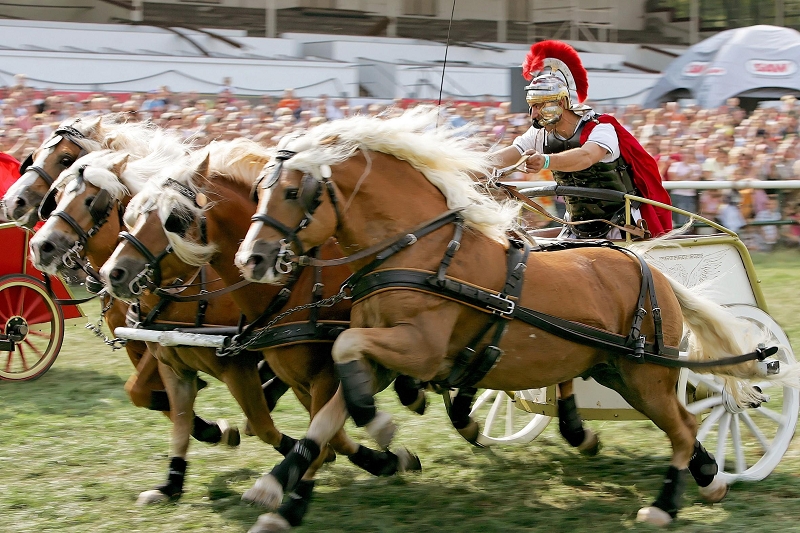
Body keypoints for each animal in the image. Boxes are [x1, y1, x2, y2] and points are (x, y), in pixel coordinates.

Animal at [6, 114, 234, 446]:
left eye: (65, 159)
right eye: (33, 156)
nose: (13, 202)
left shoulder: (162, 337)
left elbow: (144, 390)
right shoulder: (137, 341)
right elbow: (145, 393)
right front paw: (204, 426)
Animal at [90, 139, 422, 528]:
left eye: (175, 219)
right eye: (132, 213)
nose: (113, 273)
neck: (291, 287)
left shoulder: (265, 368)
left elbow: (296, 428)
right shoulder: (176, 365)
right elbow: (180, 421)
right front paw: (171, 484)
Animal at [238, 106, 800, 524]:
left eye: (294, 191)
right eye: (259, 188)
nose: (252, 260)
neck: (423, 251)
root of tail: (653, 271)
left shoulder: (416, 351)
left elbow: (343, 358)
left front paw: (378, 426)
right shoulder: (379, 358)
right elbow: (327, 417)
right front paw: (277, 491)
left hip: (646, 374)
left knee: (689, 422)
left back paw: (668, 503)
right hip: (614, 369)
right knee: (679, 423)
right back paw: (706, 479)